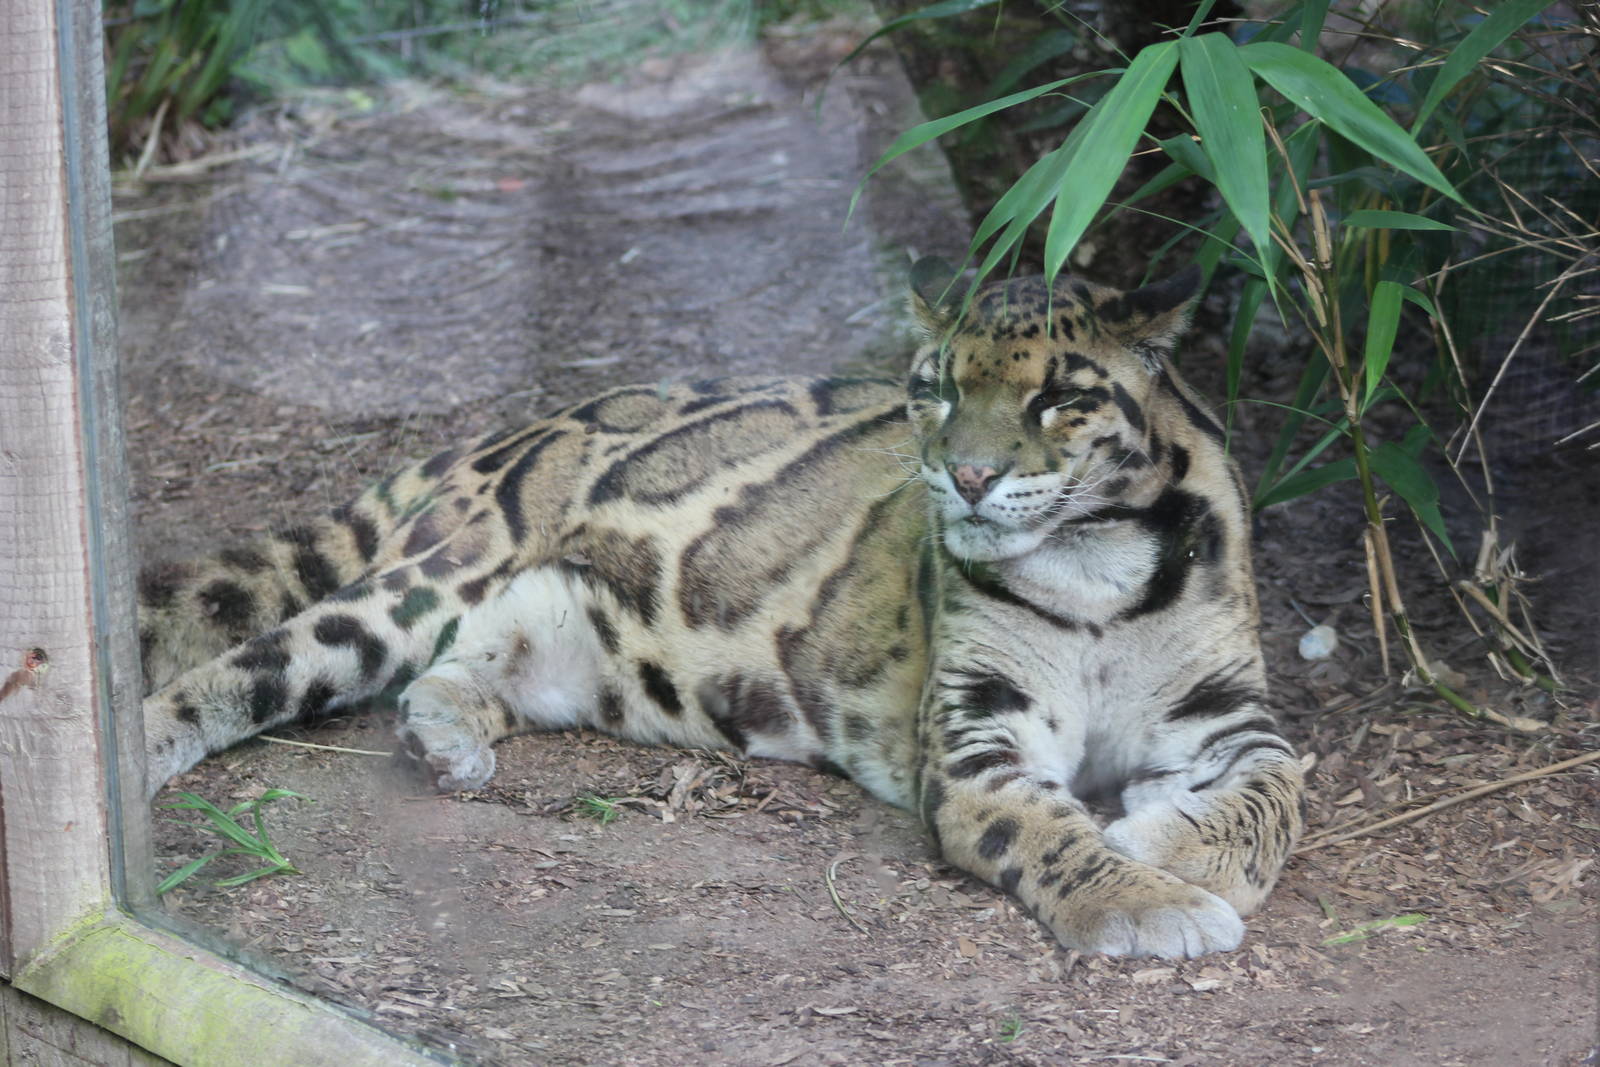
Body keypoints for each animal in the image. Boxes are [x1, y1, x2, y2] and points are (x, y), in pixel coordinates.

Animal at [138, 258, 1305, 959]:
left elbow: (1278, 792)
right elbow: (1048, 829)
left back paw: (445, 739)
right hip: (421, 582)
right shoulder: (978, 737)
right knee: (240, 669)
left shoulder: (1230, 711)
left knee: (457, 667)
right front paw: (1148, 899)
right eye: (932, 388)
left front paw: (1176, 842)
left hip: (562, 640)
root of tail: (524, 426)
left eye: (1058, 398)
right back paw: (134, 750)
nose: (965, 475)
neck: (1095, 561)